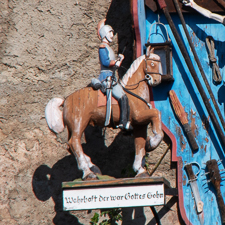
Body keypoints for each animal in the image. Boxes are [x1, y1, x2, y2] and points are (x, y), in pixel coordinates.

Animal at [45, 48, 166, 180]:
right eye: (152, 64)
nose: (157, 81)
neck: (134, 92)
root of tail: (65, 100)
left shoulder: (140, 125)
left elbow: (140, 145)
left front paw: (140, 170)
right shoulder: (139, 116)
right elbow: (156, 114)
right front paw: (152, 143)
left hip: (72, 127)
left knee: (70, 146)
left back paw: (93, 167)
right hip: (79, 123)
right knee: (74, 142)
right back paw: (88, 173)